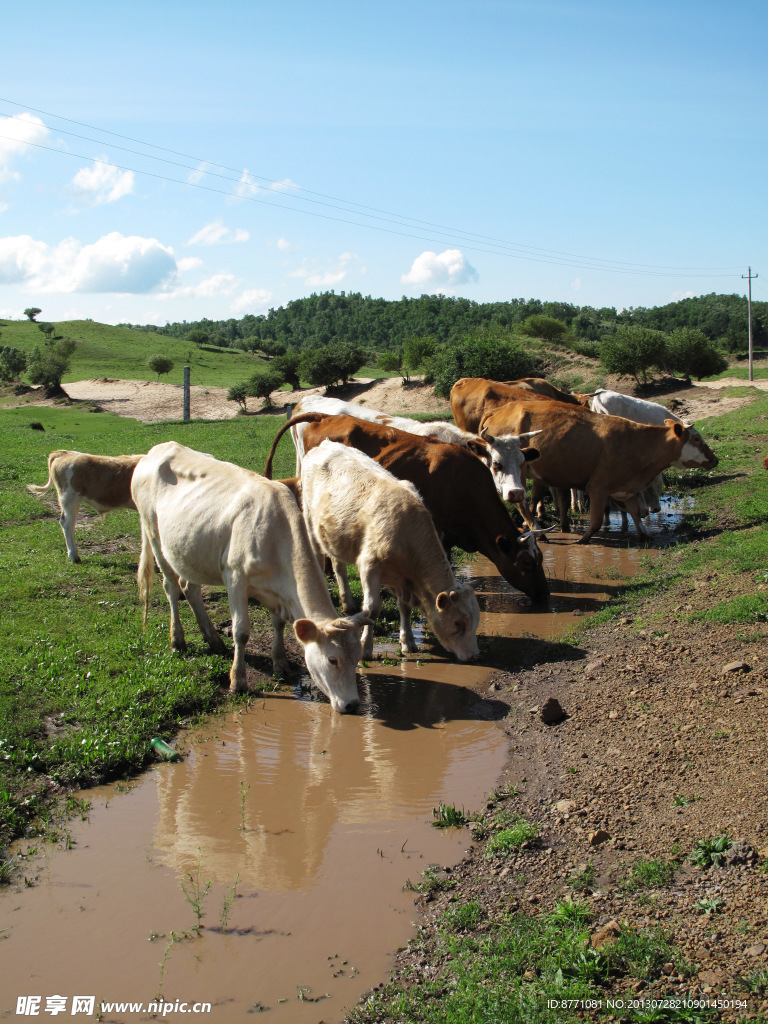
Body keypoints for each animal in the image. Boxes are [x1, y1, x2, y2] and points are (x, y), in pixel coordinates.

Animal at [132, 440, 372, 712]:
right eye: (332, 660)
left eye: (357, 658)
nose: (352, 704)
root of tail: (159, 449)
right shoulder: (235, 578)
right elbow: (241, 632)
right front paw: (238, 681)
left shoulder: (275, 590)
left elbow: (279, 623)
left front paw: (280, 664)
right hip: (154, 534)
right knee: (171, 588)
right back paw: (178, 640)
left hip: (191, 550)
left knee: (189, 587)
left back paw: (213, 639)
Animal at [303, 442, 479, 663]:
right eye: (458, 623)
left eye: (475, 622)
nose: (473, 656)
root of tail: (325, 444)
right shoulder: (369, 566)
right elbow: (371, 610)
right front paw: (365, 648)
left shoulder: (402, 579)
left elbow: (404, 606)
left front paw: (408, 642)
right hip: (310, 524)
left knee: (339, 566)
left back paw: (348, 603)